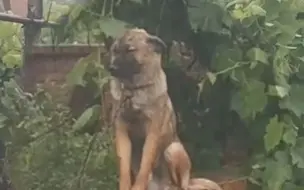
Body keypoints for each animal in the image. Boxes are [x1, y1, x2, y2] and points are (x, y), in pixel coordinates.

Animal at [103, 28, 191, 190]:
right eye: (115, 51)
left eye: (130, 50)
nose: (112, 69)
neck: (133, 91)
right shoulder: (122, 134)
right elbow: (124, 168)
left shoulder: (152, 133)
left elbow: (145, 165)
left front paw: (137, 187)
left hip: (173, 149)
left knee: (180, 184)